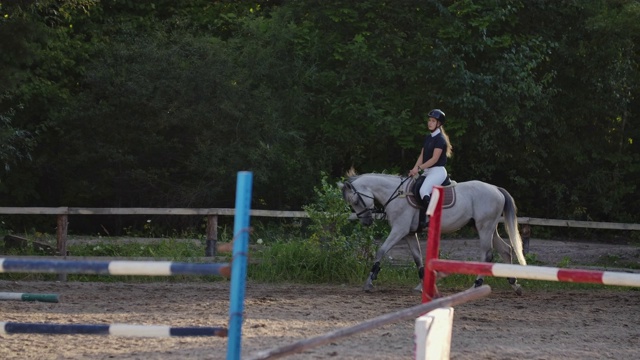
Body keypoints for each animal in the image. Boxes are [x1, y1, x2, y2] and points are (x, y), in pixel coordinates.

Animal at [338, 173, 528, 294]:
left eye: (355, 201)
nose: (366, 221)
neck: (397, 195)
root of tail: (496, 189)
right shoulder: (409, 233)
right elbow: (417, 259)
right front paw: (423, 285)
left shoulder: (399, 230)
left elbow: (381, 251)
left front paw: (369, 282)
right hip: (487, 228)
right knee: (506, 250)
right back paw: (515, 285)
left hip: (484, 227)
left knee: (487, 255)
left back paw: (476, 286)